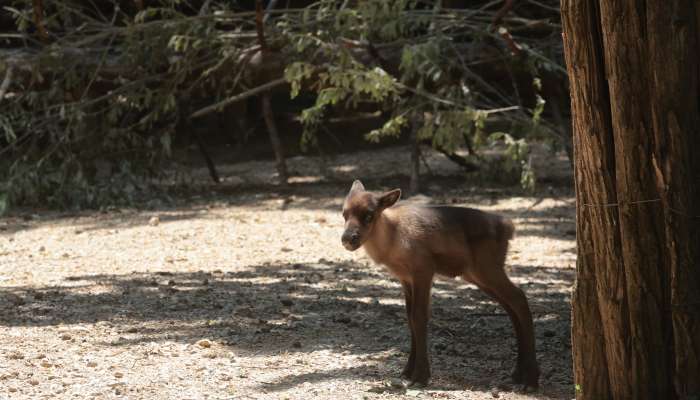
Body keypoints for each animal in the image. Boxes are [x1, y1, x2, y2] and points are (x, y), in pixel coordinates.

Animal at [342, 180, 540, 388]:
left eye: (369, 214)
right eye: (344, 213)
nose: (348, 239)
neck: (393, 238)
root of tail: (509, 228)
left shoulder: (423, 270)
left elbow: (419, 317)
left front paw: (421, 376)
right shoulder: (406, 279)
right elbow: (410, 319)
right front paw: (407, 371)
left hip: (488, 268)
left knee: (519, 298)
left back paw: (531, 379)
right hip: (477, 275)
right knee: (510, 306)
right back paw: (518, 373)